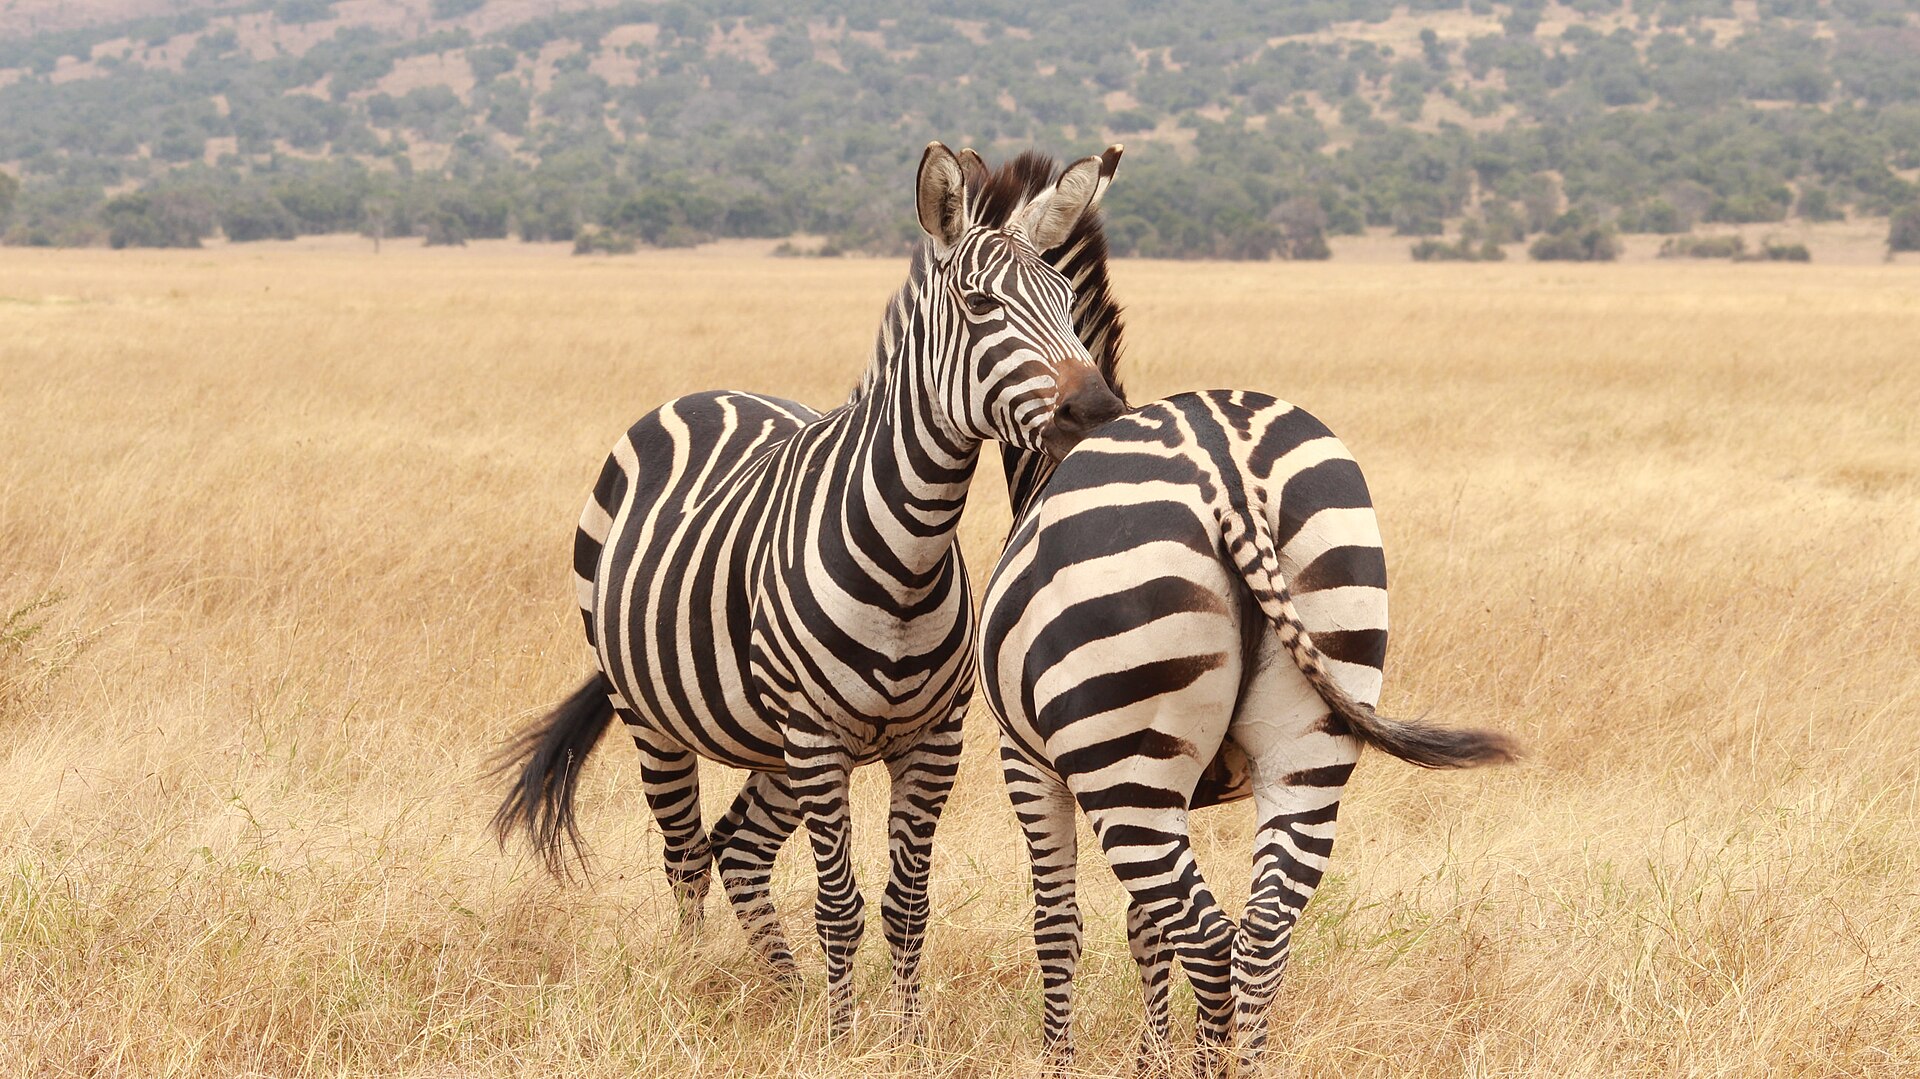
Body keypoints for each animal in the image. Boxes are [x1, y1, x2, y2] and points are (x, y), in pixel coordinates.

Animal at [491, 142, 1129, 1035]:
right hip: (657, 715)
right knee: (685, 856)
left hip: (772, 739)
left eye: (1067, 302)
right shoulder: (820, 738)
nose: (1101, 410)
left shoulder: (932, 741)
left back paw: (783, 990)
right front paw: (840, 1037)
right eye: (978, 303)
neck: (911, 552)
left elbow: (905, 905)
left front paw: (905, 1037)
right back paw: (700, 978)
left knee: (737, 847)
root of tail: (706, 392)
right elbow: (840, 904)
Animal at [979, 389, 1519, 1073]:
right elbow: (1145, 928)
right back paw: (1250, 1062)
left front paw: (1063, 1063)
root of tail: (1230, 476)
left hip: (1123, 765)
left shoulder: (1026, 763)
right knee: (1262, 934)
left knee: (1209, 943)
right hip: (1307, 745)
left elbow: (1058, 926)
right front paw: (1151, 1060)